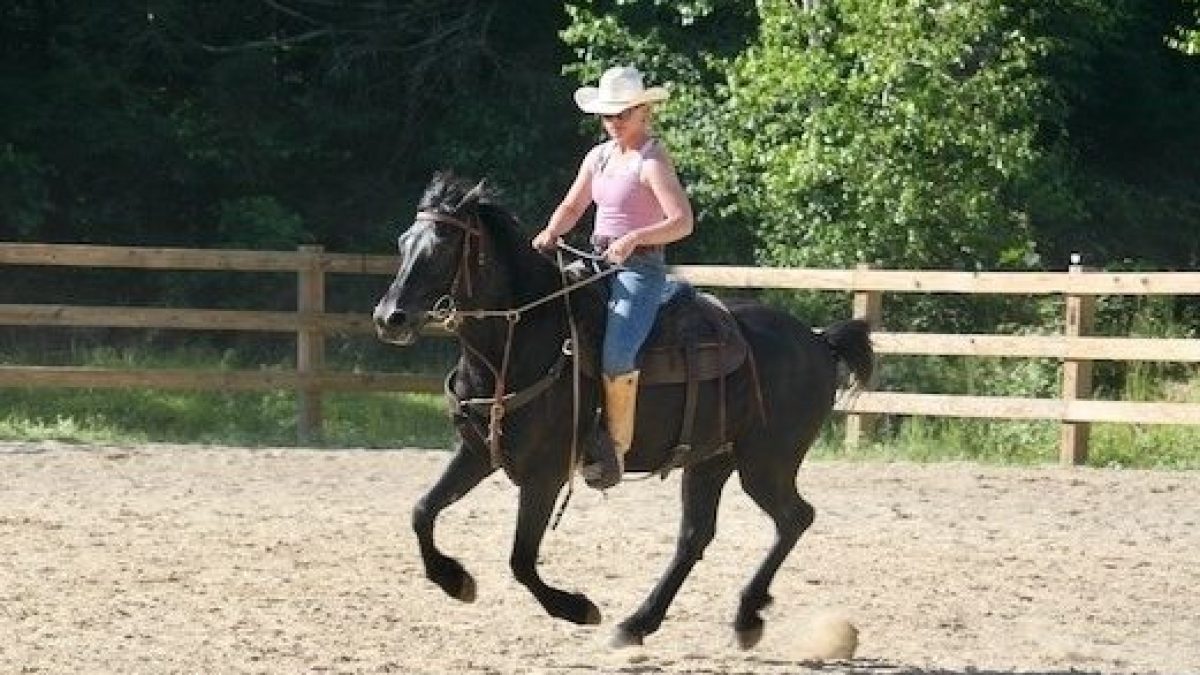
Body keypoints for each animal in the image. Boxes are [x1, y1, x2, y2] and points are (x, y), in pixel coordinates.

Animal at [372, 172, 874, 649]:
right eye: (402, 241)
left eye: (442, 246)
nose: (389, 318)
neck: (523, 340)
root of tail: (818, 340)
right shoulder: (478, 453)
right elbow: (422, 511)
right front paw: (454, 580)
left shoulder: (545, 473)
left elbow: (521, 560)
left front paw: (577, 609)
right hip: (712, 461)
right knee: (695, 537)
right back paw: (638, 623)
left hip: (766, 463)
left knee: (794, 518)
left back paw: (745, 616)